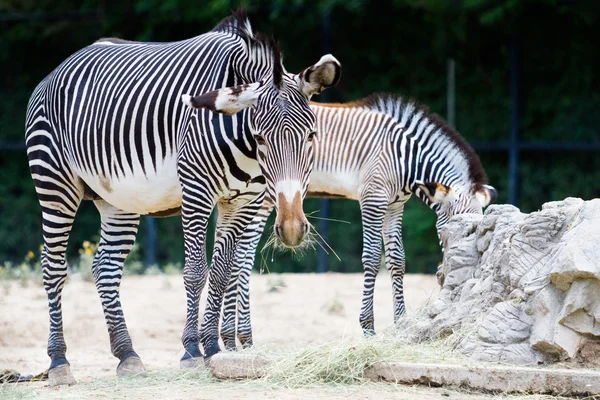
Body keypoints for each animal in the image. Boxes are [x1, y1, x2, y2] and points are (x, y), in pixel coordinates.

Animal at [24, 9, 342, 384]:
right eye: (261, 137)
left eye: (311, 135)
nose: (292, 230)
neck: (243, 145)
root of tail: (56, 70)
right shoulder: (196, 192)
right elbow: (195, 271)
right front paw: (191, 350)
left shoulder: (243, 202)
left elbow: (221, 273)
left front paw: (214, 349)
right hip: (55, 182)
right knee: (53, 268)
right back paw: (59, 362)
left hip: (117, 199)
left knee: (105, 268)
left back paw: (127, 355)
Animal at [220, 92, 496, 348]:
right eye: (451, 231)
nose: (450, 274)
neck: (405, 157)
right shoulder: (373, 199)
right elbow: (372, 258)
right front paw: (368, 328)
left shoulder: (394, 206)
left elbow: (397, 260)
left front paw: (400, 322)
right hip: (263, 198)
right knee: (242, 257)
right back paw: (239, 338)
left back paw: (240, 340)